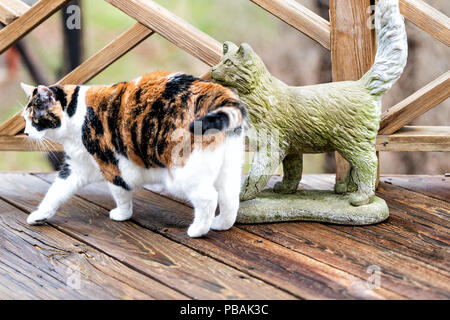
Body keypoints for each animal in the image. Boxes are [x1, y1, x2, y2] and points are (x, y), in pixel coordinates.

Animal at [21, 72, 246, 238]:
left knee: (209, 197)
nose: (26, 132)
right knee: (230, 197)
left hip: (182, 173)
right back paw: (221, 224)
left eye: (34, 119)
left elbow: (120, 192)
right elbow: (55, 192)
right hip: (229, 167)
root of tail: (218, 93)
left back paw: (197, 230)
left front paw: (122, 215)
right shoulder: (76, 167)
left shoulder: (112, 164)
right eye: (25, 119)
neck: (76, 114)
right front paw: (40, 215)